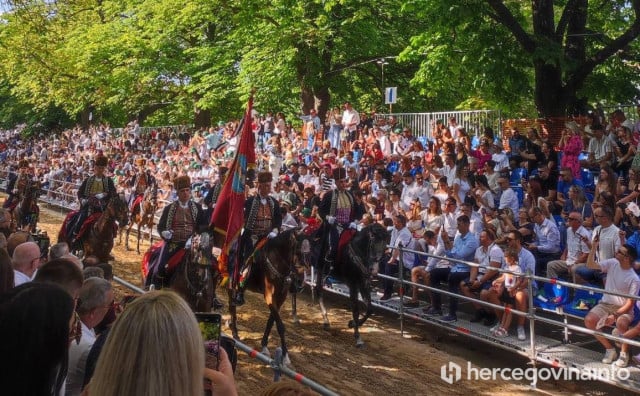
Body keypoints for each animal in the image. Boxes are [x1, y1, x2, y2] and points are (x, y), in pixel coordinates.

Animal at [229, 229, 302, 366]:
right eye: (298, 251)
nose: (300, 283)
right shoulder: (269, 296)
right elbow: (280, 326)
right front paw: (285, 356)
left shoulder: (280, 298)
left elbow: (271, 322)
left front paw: (264, 347)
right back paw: (234, 332)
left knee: (231, 305)